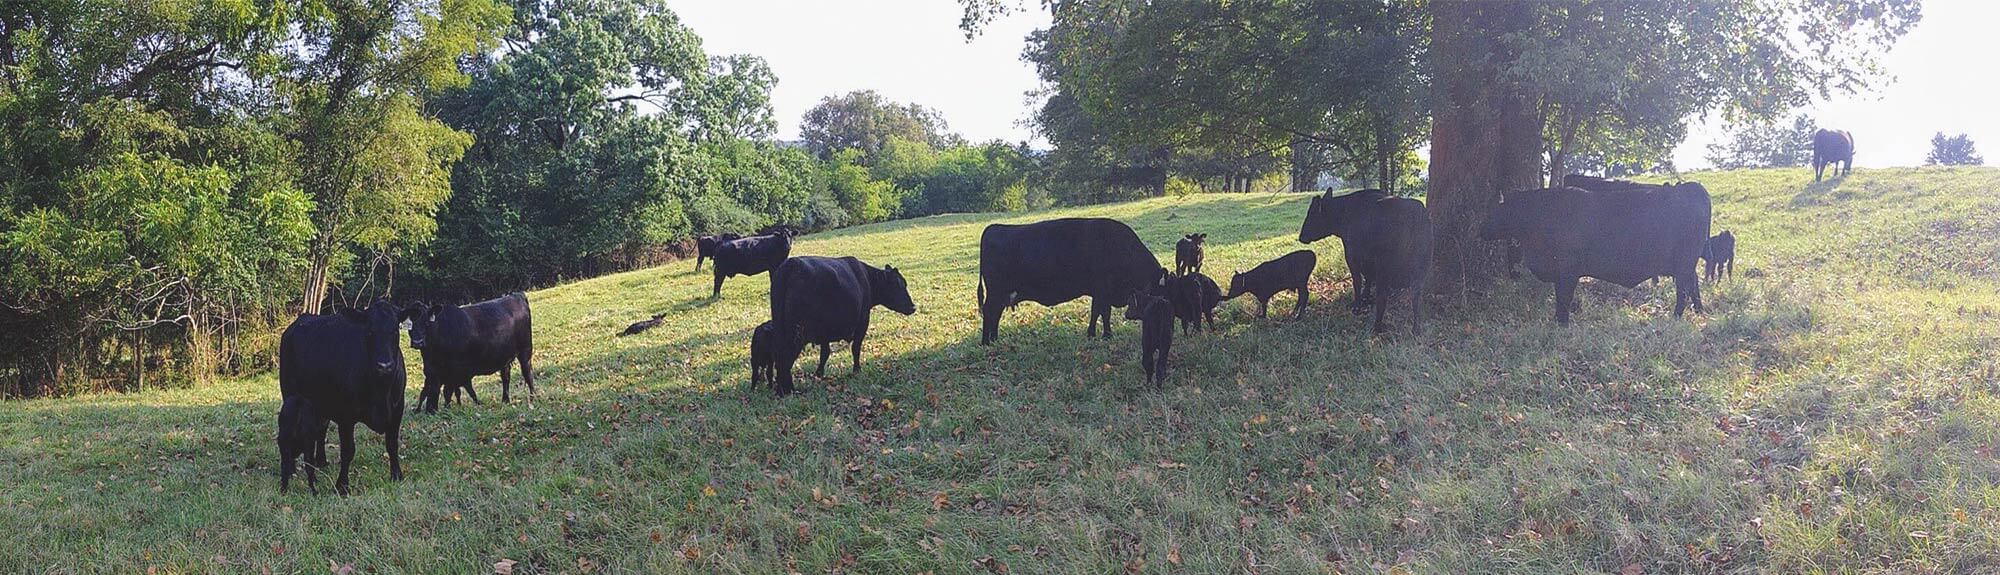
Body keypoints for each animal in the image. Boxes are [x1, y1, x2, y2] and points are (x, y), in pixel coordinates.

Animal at [278, 301, 410, 495]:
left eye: (395, 330)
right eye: (369, 331)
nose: (384, 365)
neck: (381, 390)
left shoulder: (397, 409)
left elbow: (392, 444)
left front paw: (396, 475)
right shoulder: (346, 416)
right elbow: (348, 450)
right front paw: (342, 485)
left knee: (320, 430)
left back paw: (321, 461)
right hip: (290, 396)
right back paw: (293, 468)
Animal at [406, 291, 536, 413]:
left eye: (426, 323)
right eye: (409, 326)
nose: (417, 342)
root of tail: (517, 295)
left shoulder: (454, 372)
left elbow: (448, 391)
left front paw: (447, 409)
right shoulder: (433, 372)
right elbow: (436, 391)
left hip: (525, 350)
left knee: (527, 373)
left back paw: (532, 399)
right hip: (504, 357)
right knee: (506, 377)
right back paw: (505, 400)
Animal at [768, 255, 916, 395]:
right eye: (898, 285)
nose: (913, 307)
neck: (867, 278)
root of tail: (791, 264)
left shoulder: (825, 332)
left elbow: (825, 353)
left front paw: (819, 374)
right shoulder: (862, 323)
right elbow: (856, 349)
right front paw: (857, 370)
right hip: (796, 334)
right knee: (785, 360)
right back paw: (787, 391)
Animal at [976, 215, 1168, 341]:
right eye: (1163, 291)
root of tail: (994, 227)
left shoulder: (1099, 292)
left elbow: (1096, 312)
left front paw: (1093, 334)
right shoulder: (1103, 290)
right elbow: (1103, 313)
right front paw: (1106, 335)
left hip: (1002, 295)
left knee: (995, 313)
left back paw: (994, 339)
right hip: (996, 292)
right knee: (990, 312)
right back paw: (987, 342)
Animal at [1480, 181, 1712, 325]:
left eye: (1492, 210)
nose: (1480, 230)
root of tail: (1690, 187)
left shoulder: (1568, 271)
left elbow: (1564, 298)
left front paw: (1561, 323)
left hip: (1683, 265)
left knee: (1684, 289)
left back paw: (1676, 317)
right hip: (1685, 265)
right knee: (1694, 282)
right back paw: (1699, 310)